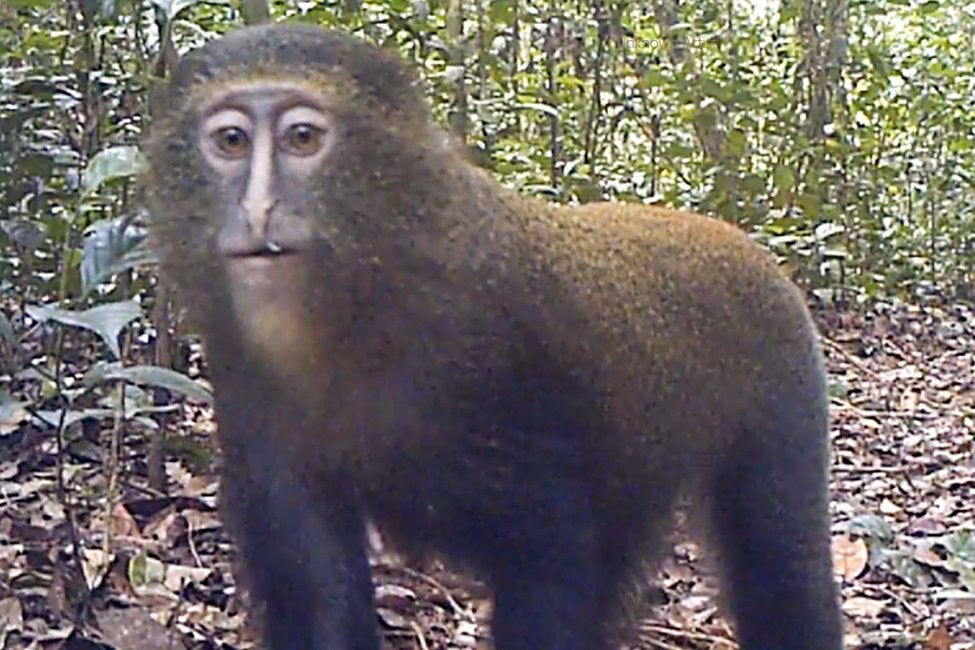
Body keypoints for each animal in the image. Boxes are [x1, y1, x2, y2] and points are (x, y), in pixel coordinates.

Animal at [145, 22, 843, 650]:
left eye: (301, 138)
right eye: (231, 141)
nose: (258, 210)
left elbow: (550, 563)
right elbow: (319, 584)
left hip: (783, 389)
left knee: (781, 563)